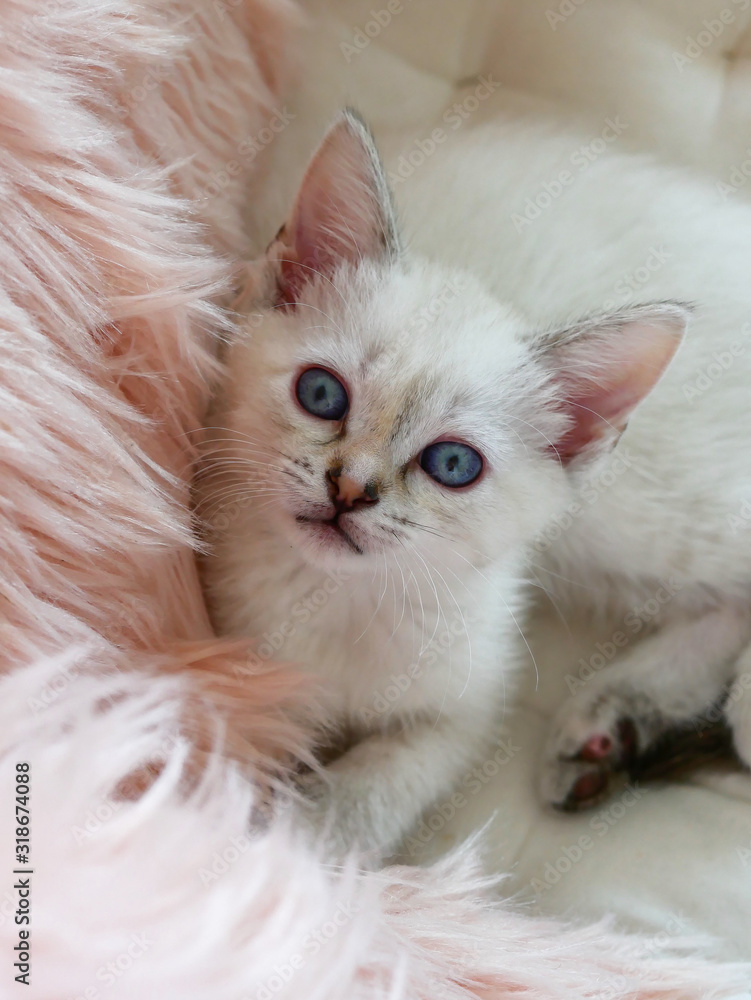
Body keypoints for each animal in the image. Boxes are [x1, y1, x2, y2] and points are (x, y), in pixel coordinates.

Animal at [200, 103, 751, 852]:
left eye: (453, 465)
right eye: (321, 394)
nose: (350, 489)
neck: (335, 598)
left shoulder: (468, 701)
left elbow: (374, 788)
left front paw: (302, 842)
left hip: (636, 508)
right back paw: (609, 729)